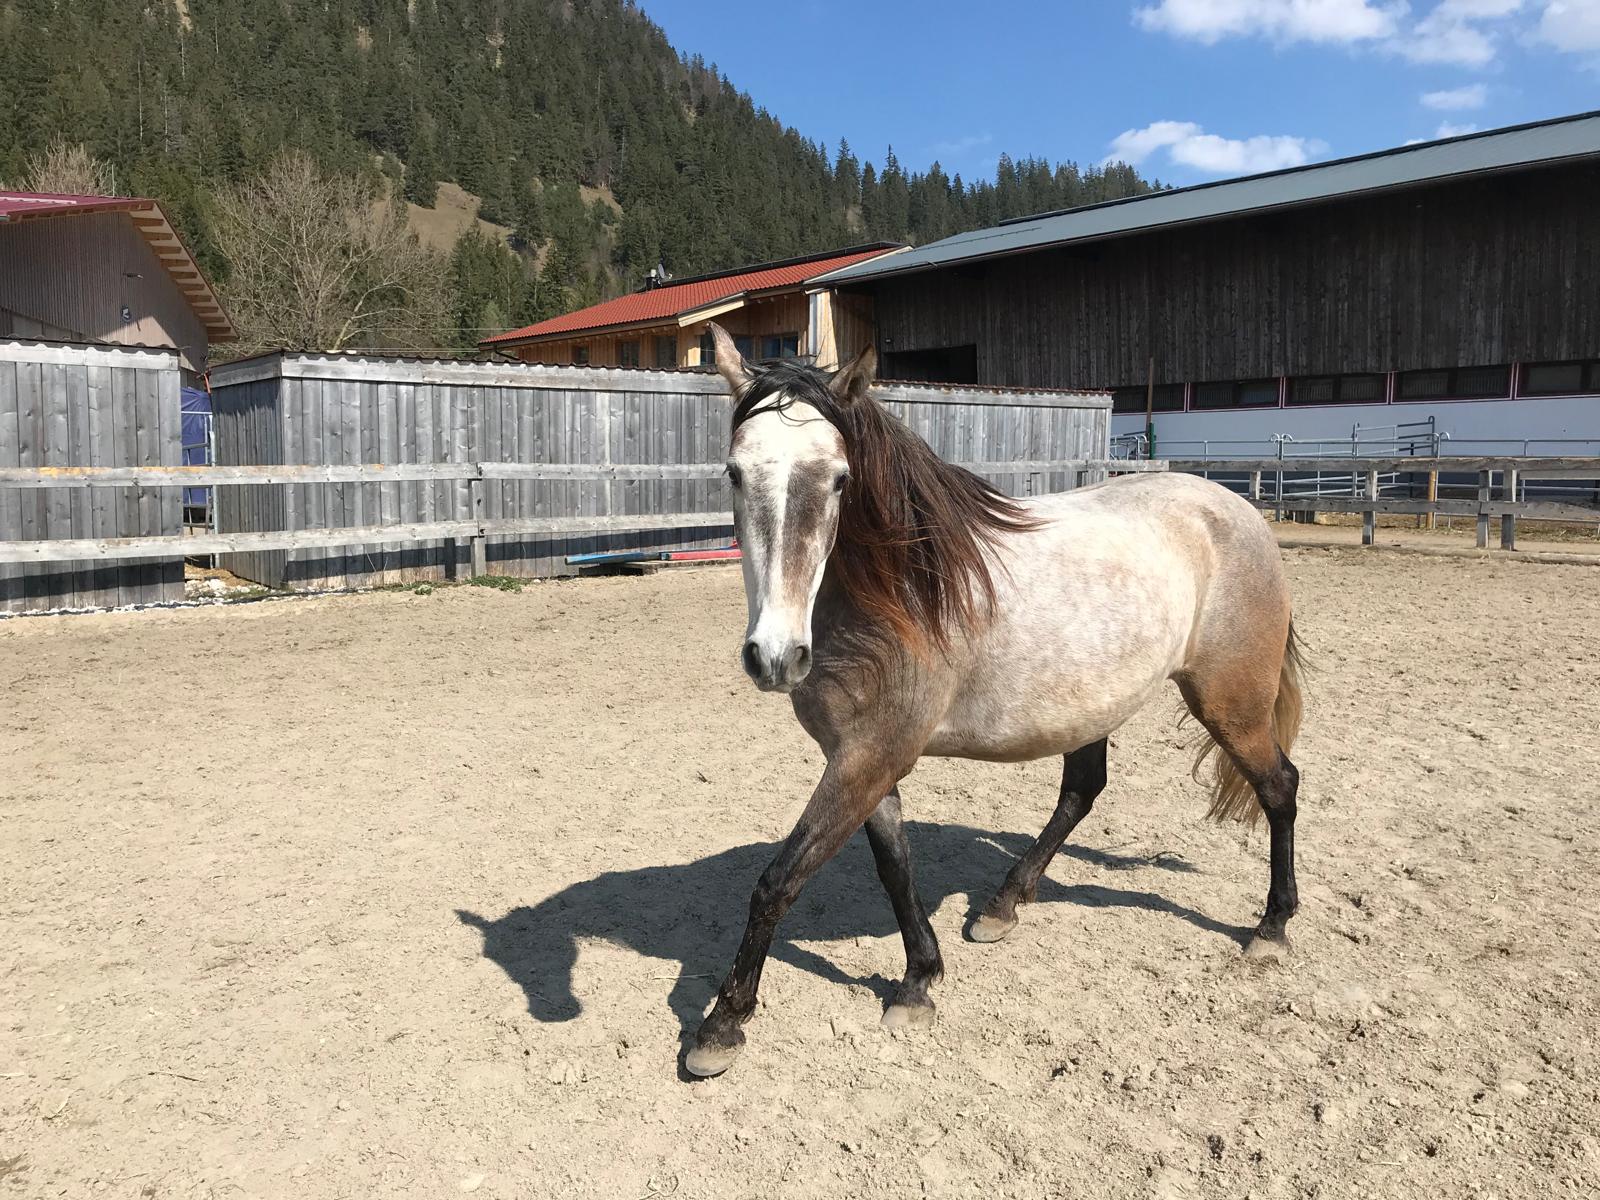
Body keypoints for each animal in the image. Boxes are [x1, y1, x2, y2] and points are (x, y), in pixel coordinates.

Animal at [684, 323, 1305, 1078]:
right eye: (735, 472)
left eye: (838, 478)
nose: (775, 657)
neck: (901, 596)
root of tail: (1240, 511)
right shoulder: (863, 758)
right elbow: (895, 868)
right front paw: (919, 981)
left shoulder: (869, 757)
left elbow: (780, 880)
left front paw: (722, 1024)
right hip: (1094, 708)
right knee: (1083, 792)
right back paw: (1002, 906)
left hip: (1230, 701)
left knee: (1279, 786)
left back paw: (1271, 927)